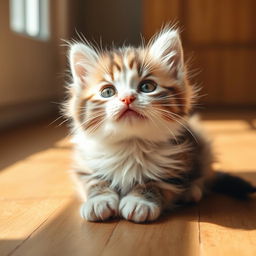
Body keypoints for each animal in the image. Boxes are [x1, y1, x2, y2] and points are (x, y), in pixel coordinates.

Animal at [64, 26, 256, 222]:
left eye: (147, 87)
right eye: (107, 92)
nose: (127, 98)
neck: (131, 143)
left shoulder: (178, 162)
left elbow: (158, 182)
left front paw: (140, 201)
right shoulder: (85, 163)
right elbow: (92, 180)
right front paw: (99, 200)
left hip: (203, 145)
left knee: (205, 175)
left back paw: (192, 191)